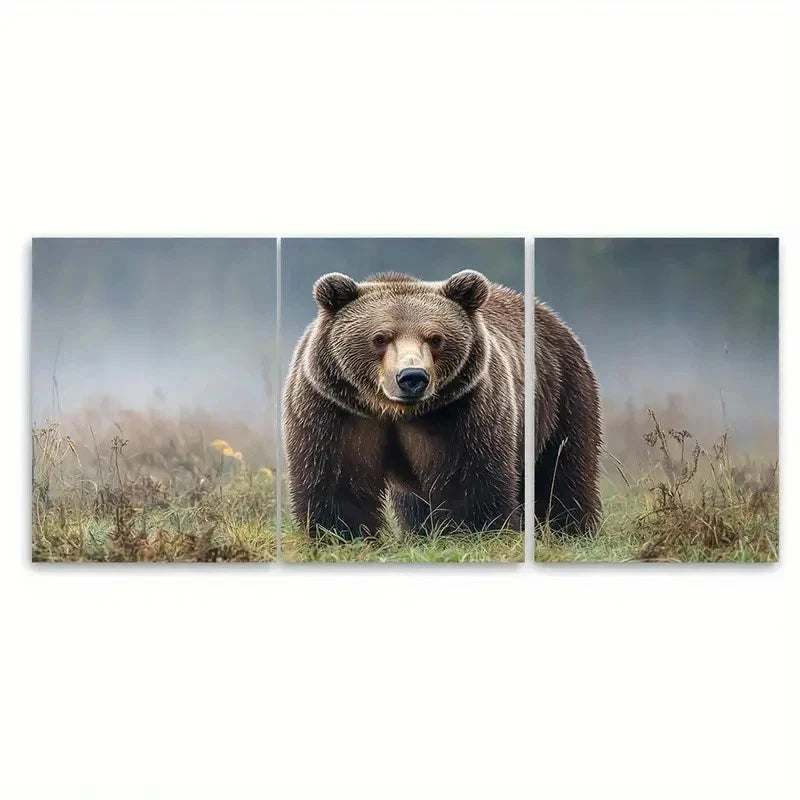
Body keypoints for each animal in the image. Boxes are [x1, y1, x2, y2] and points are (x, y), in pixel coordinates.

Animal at [282, 270, 524, 540]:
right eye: (380, 338)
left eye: (435, 338)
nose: (412, 376)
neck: (392, 410)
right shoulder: (333, 410)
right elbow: (337, 483)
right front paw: (340, 534)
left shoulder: (465, 410)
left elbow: (472, 481)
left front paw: (479, 530)